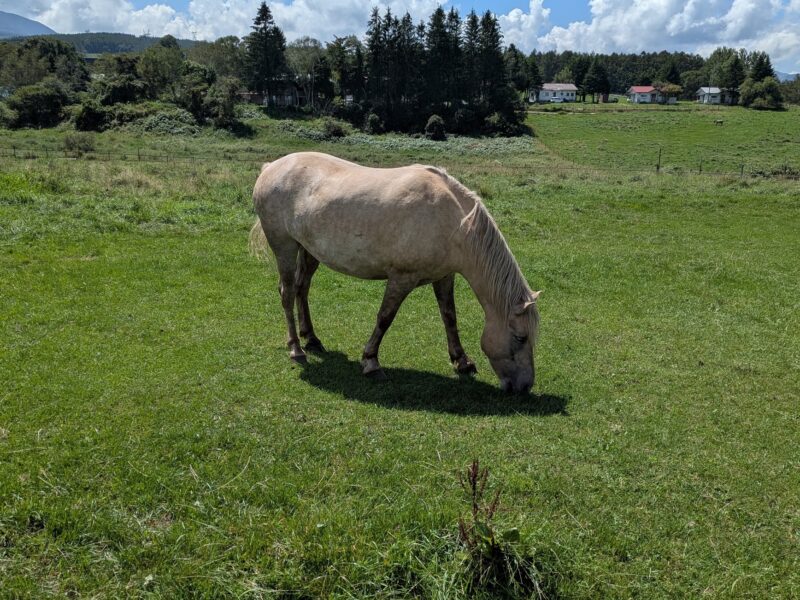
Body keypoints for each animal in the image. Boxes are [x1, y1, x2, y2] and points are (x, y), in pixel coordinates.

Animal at [250, 152, 541, 393]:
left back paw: (311, 338)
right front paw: (370, 362)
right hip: (285, 247)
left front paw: (462, 361)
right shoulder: (402, 279)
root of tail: (271, 167)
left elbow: (449, 317)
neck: (455, 223)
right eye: (520, 337)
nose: (525, 387)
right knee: (287, 293)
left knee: (302, 289)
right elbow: (385, 318)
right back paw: (296, 349)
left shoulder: (444, 276)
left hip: (309, 251)